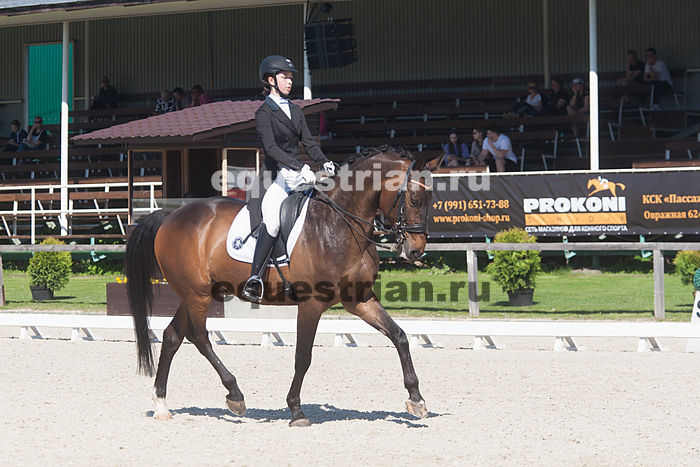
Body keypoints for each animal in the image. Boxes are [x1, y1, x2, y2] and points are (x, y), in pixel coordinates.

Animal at [125, 147, 438, 426]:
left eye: (430, 199)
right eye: (413, 199)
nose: (416, 250)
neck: (338, 224)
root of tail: (171, 216)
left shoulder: (359, 300)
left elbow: (399, 336)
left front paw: (417, 400)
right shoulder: (311, 304)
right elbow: (303, 356)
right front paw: (296, 410)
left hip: (196, 293)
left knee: (172, 336)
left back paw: (161, 405)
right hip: (198, 294)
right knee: (199, 336)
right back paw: (235, 395)